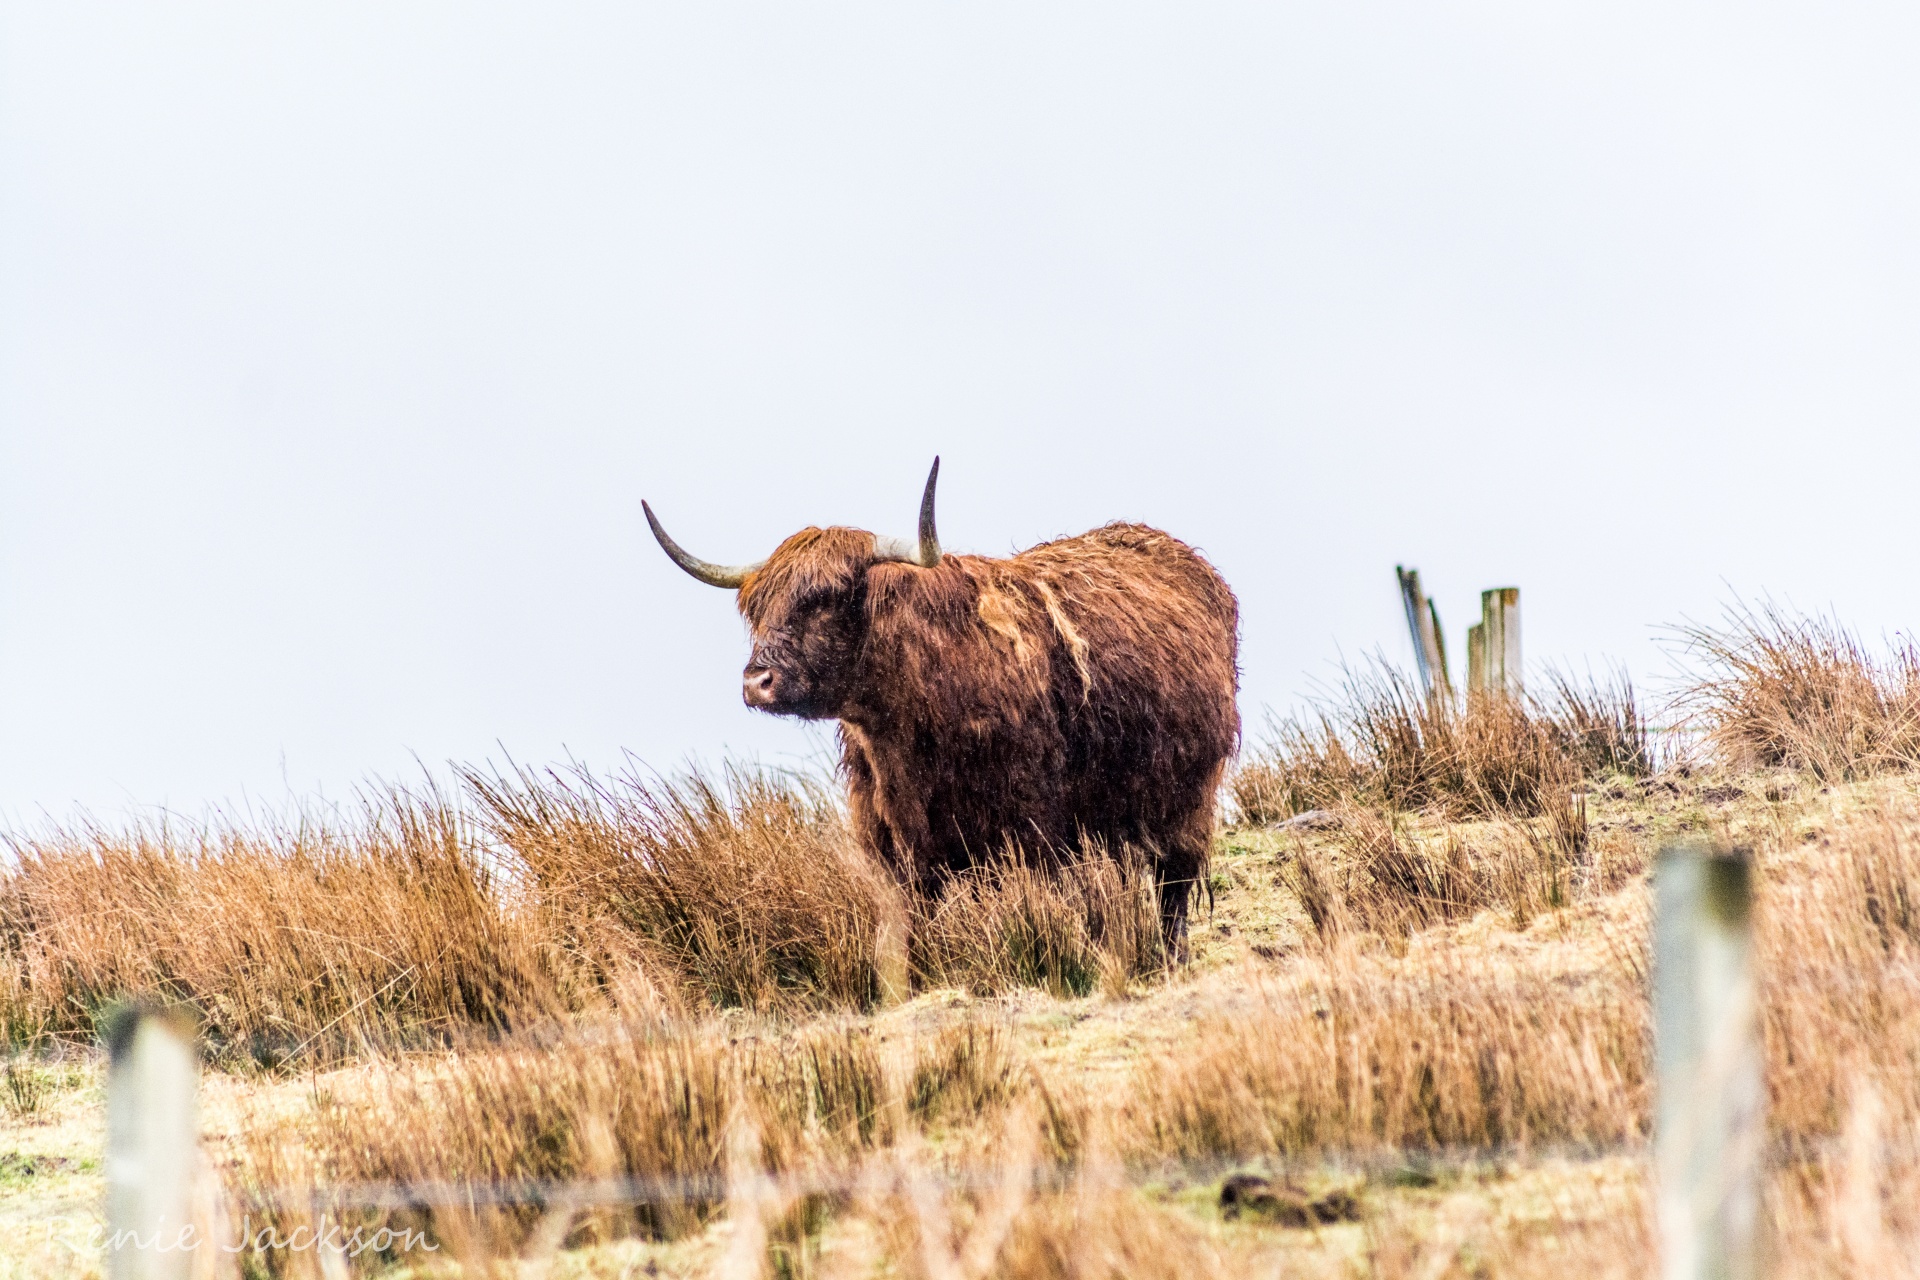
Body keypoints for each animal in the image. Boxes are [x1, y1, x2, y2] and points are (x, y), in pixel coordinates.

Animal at [645, 460, 1244, 951]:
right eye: (757, 609)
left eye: (825, 599)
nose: (756, 682)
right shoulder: (898, 850)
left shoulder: (1027, 832)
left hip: (1185, 802)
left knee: (1173, 889)